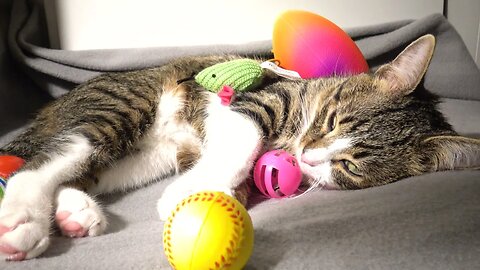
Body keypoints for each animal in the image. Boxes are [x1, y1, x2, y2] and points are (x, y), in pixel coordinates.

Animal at [0, 34, 480, 260]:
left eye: (349, 166)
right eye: (330, 121)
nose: (308, 156)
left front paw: (214, 192)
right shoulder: (252, 97)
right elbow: (246, 134)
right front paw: (184, 196)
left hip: (142, 160)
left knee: (83, 168)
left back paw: (75, 212)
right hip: (122, 106)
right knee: (43, 162)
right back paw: (23, 221)